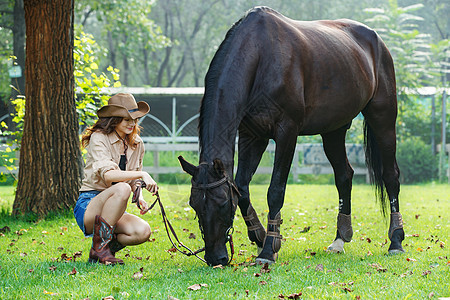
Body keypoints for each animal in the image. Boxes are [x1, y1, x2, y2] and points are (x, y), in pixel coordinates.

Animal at [178, 5, 404, 266]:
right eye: (194, 204)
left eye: (223, 203)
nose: (216, 258)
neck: (261, 56)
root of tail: (377, 42)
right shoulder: (252, 136)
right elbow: (242, 187)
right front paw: (259, 236)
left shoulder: (287, 132)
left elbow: (275, 190)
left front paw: (269, 249)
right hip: (333, 130)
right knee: (344, 175)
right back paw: (340, 239)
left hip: (383, 118)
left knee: (390, 176)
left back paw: (396, 240)